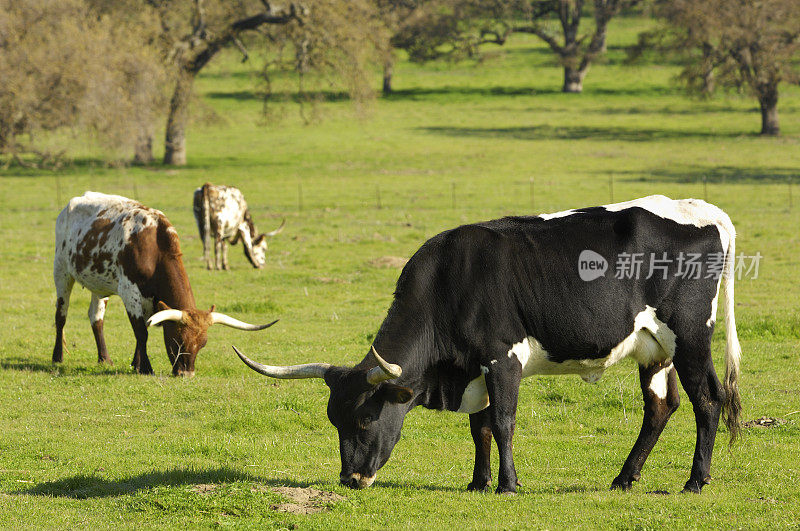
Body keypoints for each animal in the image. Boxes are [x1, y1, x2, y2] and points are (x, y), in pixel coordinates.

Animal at [54, 193, 276, 376]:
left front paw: (136, 364)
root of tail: (71, 203)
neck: (154, 247)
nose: (186, 374)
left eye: (202, 344)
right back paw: (58, 357)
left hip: (99, 285)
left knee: (96, 318)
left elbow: (142, 330)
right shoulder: (130, 292)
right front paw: (145, 368)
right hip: (62, 272)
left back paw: (104, 359)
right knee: (61, 316)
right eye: (177, 340)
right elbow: (141, 332)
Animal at [233, 195, 744, 494]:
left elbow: (501, 423)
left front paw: (507, 485)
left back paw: (696, 480)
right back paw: (624, 478)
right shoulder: (473, 368)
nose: (352, 479)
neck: (450, 281)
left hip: (691, 336)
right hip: (654, 350)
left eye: (364, 419)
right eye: (333, 420)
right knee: (660, 407)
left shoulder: (502, 360)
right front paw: (478, 483)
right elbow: (478, 429)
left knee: (707, 398)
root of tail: (707, 211)